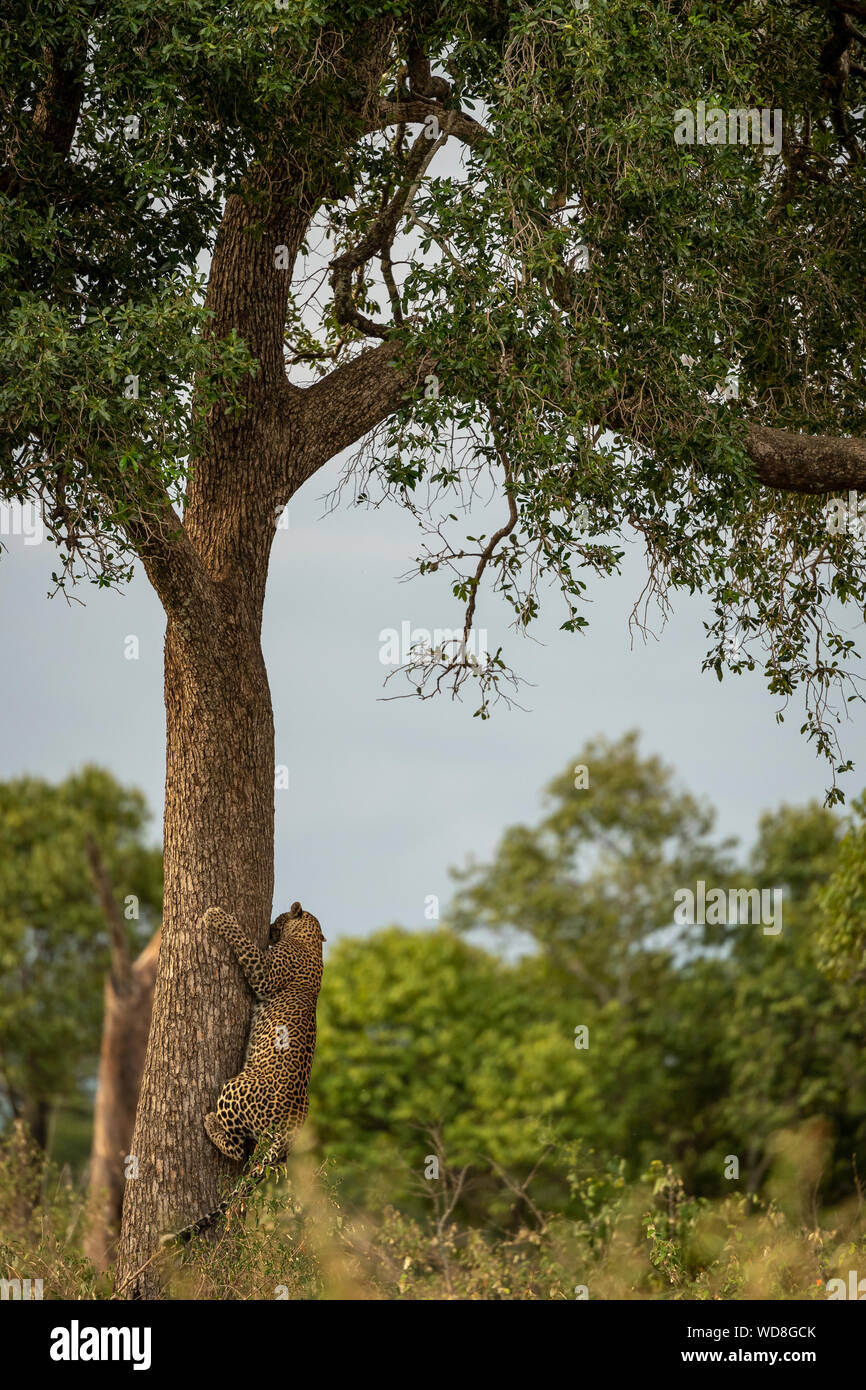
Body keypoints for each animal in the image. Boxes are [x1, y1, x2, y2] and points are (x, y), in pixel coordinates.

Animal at [162, 906, 325, 1245]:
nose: (271, 926)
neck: (312, 941)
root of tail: (290, 1133)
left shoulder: (266, 971)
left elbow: (243, 942)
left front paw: (216, 916)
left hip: (236, 1086)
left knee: (237, 1150)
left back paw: (210, 1123)